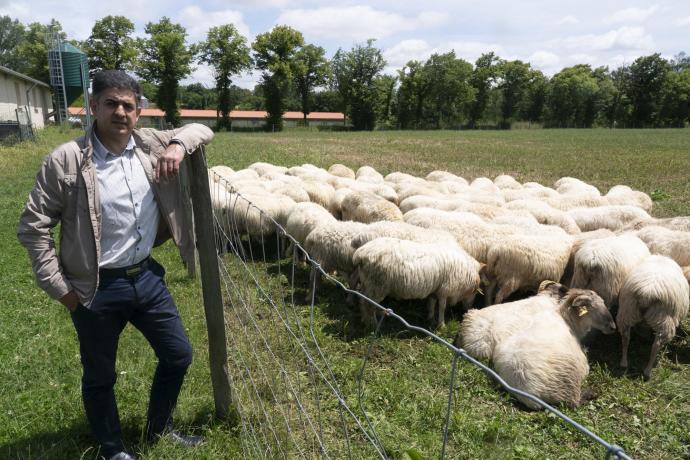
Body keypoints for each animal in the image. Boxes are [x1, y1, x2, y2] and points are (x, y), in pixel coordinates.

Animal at [352, 237, 482, 330]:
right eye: (475, 292)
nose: (468, 309)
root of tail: (360, 254)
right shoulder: (444, 290)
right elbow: (442, 307)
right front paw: (441, 325)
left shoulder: (435, 289)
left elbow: (432, 303)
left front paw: (430, 319)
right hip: (377, 285)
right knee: (369, 304)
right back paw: (372, 324)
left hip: (368, 283)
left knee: (362, 299)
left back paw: (365, 319)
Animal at [460, 284, 616, 410]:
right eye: (594, 306)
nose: (613, 327)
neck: (566, 319)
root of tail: (529, 391)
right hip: (569, 382)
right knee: (574, 402)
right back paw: (591, 394)